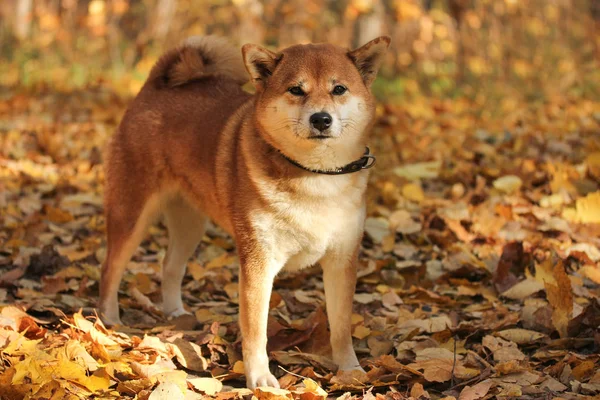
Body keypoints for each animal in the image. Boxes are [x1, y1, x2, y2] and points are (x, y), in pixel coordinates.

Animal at [99, 35, 390, 388]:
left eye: (339, 89)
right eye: (296, 90)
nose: (321, 119)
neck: (314, 176)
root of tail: (154, 87)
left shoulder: (341, 259)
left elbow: (342, 326)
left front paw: (350, 370)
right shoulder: (258, 262)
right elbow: (256, 330)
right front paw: (260, 377)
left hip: (190, 225)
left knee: (170, 266)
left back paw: (176, 314)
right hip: (132, 214)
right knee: (111, 268)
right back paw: (109, 321)